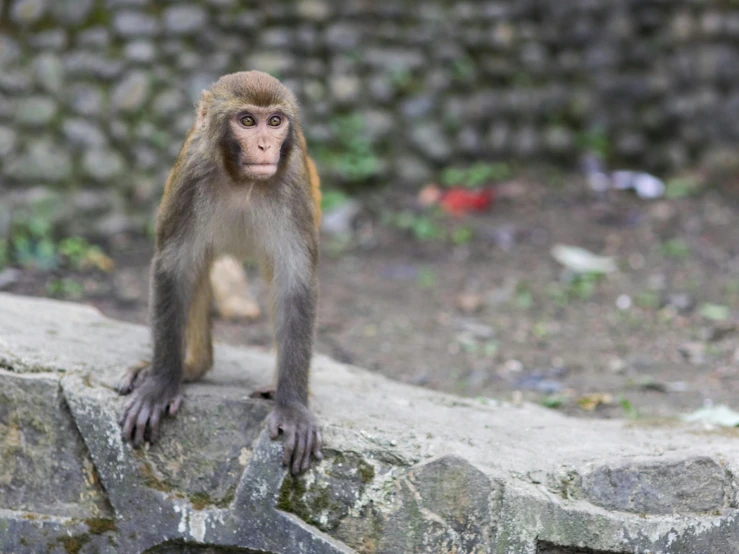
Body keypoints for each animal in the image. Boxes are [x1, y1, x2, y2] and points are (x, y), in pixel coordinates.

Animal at [116, 71, 324, 472]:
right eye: (248, 121)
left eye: (275, 121)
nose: (264, 145)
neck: (243, 182)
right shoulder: (190, 177)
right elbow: (175, 268)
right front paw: (160, 384)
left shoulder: (294, 187)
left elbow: (295, 284)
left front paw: (292, 406)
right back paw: (191, 367)